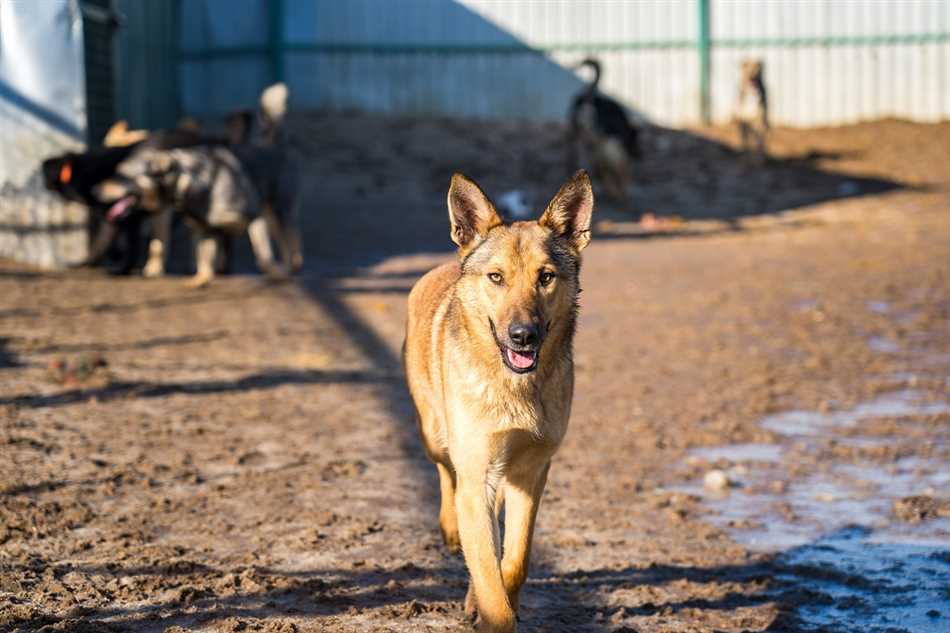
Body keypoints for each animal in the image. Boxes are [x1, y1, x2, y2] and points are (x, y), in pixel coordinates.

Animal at [404, 170, 596, 628]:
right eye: (496, 278)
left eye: (546, 277)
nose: (523, 335)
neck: (513, 388)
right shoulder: (478, 477)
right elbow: (491, 579)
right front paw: (490, 609)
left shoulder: (531, 473)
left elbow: (513, 562)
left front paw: (489, 597)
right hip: (435, 434)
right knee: (446, 473)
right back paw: (450, 529)